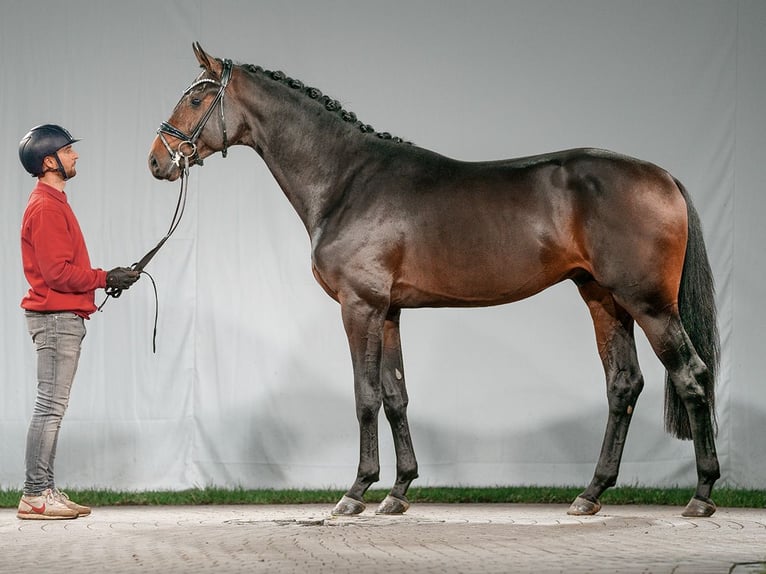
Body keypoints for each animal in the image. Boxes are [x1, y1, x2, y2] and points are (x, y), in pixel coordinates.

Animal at [148, 42, 720, 520]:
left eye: (197, 99)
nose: (156, 160)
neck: (347, 180)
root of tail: (664, 177)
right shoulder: (389, 311)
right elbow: (396, 395)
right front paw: (398, 492)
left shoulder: (359, 307)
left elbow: (365, 396)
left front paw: (356, 492)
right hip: (604, 299)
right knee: (623, 384)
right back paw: (590, 493)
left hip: (650, 305)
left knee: (692, 375)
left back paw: (701, 495)